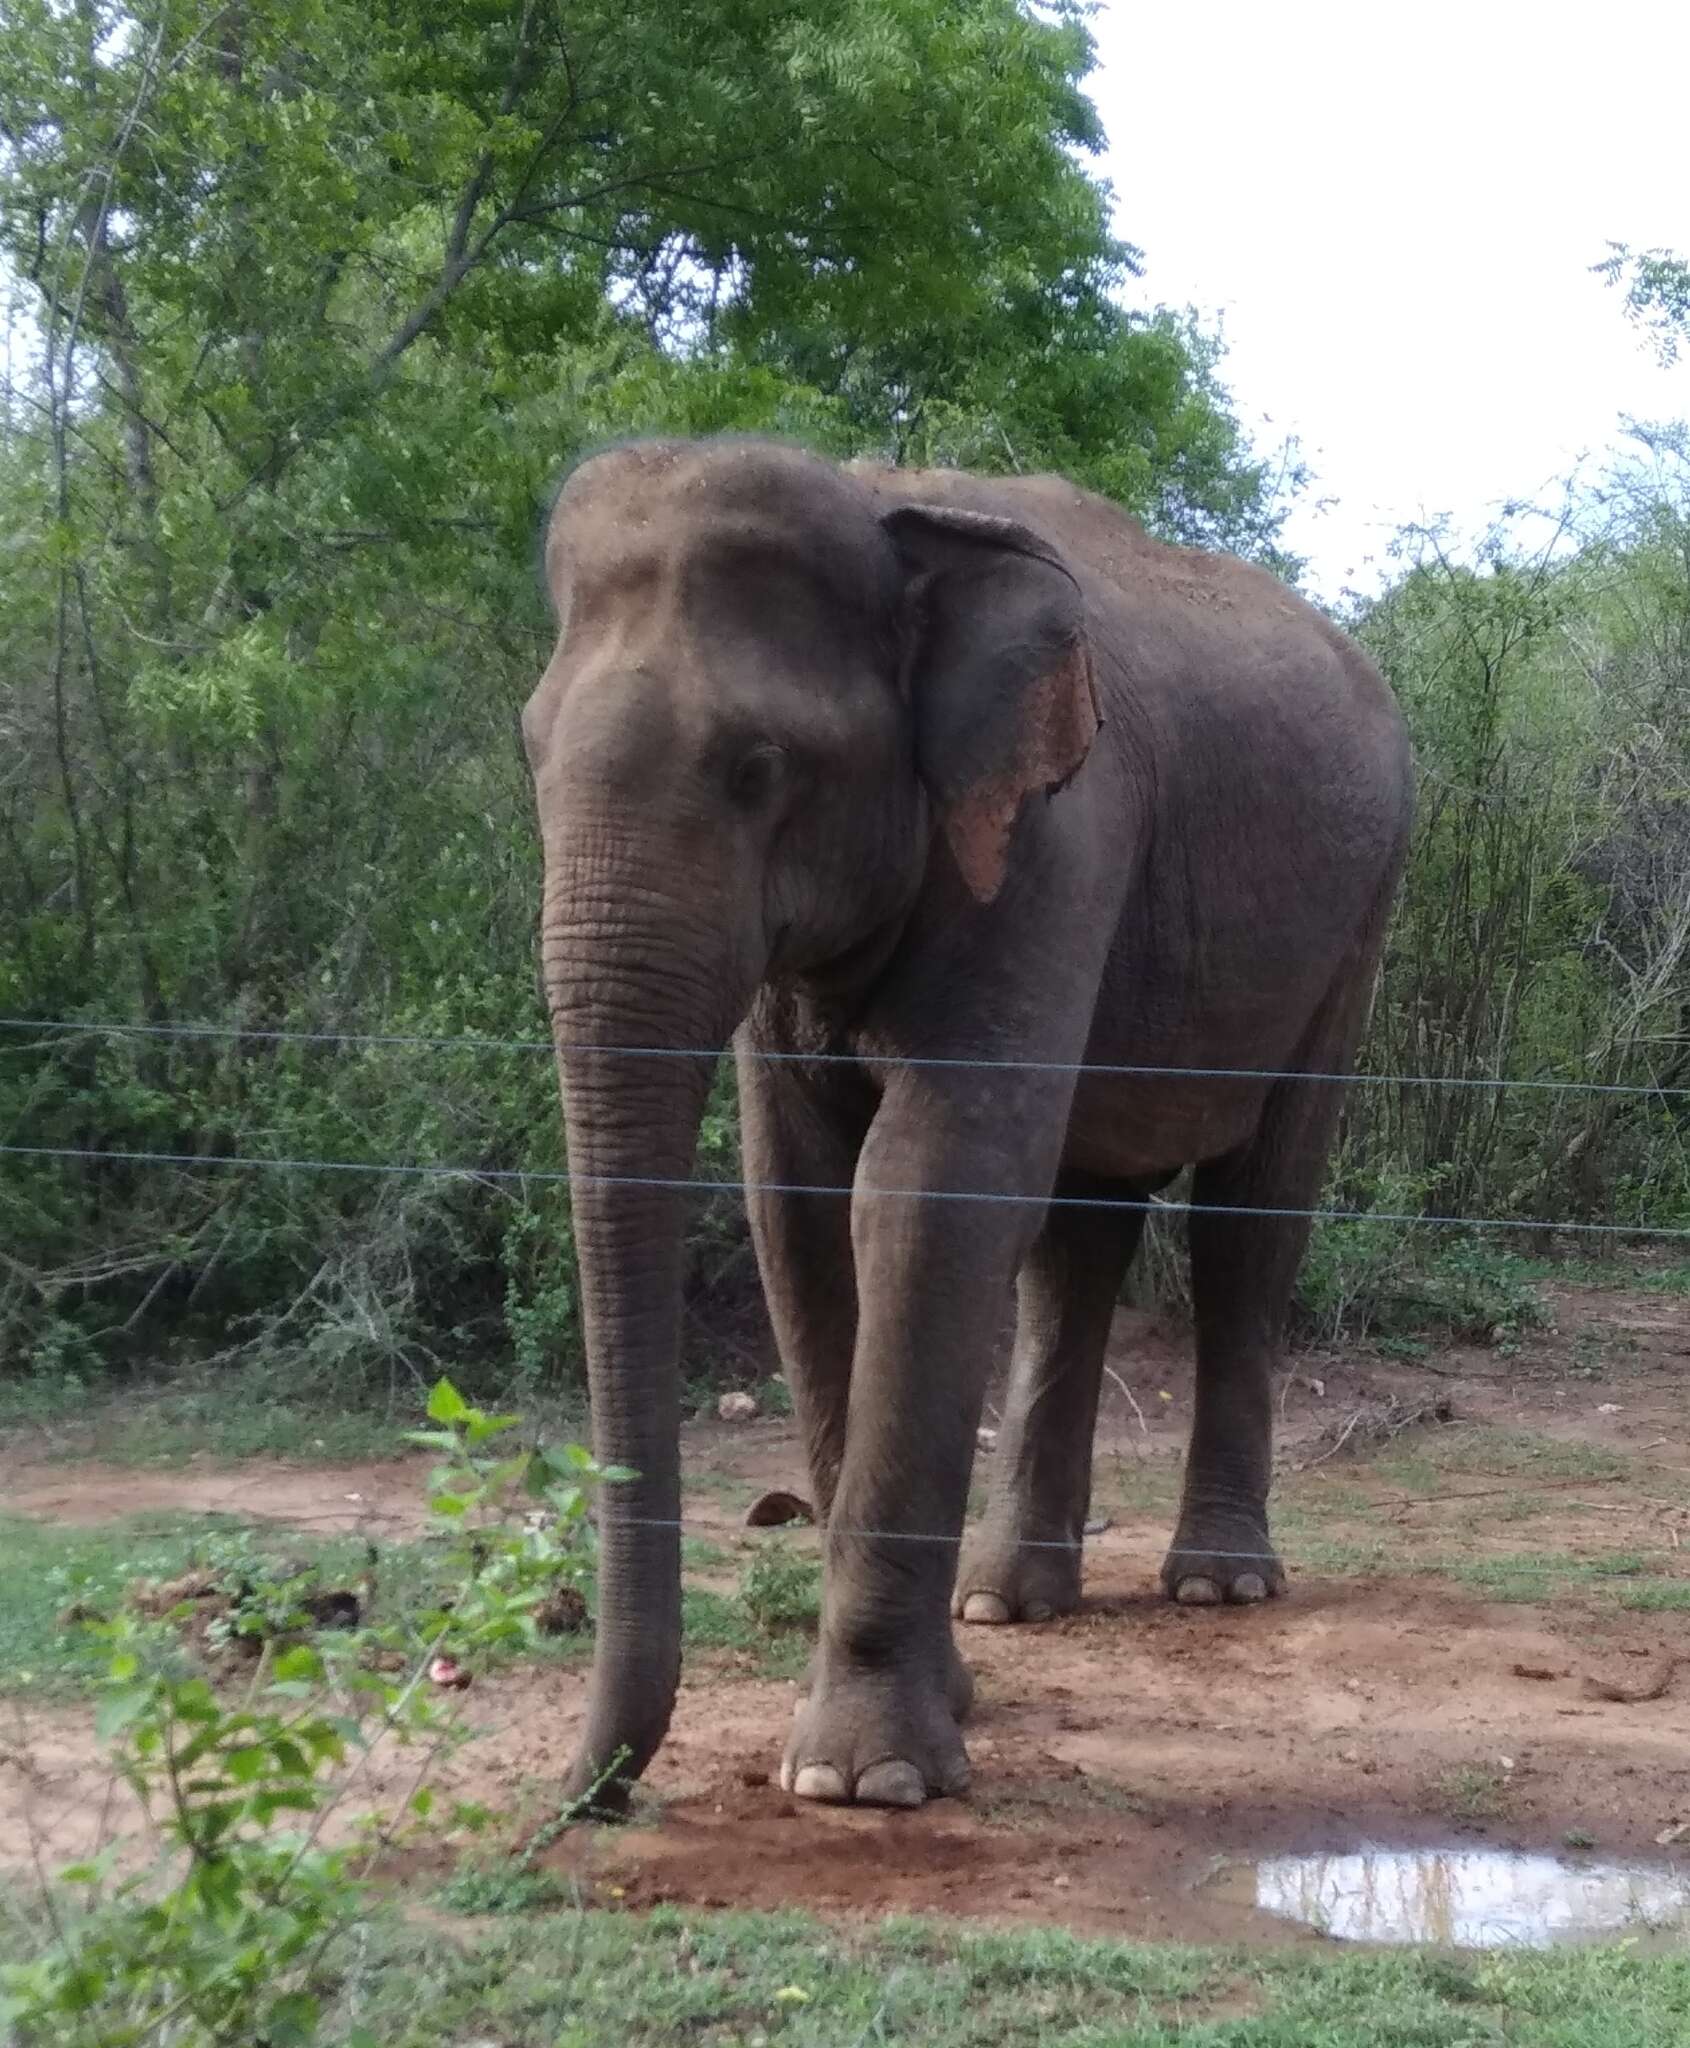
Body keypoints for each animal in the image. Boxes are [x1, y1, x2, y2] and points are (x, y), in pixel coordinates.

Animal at [524, 440, 1409, 1818]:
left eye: (757, 768)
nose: (593, 1798)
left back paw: (1215, 1582)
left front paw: (863, 1777)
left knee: (1248, 1217)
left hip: (1356, 922)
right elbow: (800, 1204)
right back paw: (1008, 1601)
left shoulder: (1058, 831)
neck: (886, 512)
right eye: (528, 754)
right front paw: (950, 1699)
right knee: (1079, 1235)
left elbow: (927, 1186)